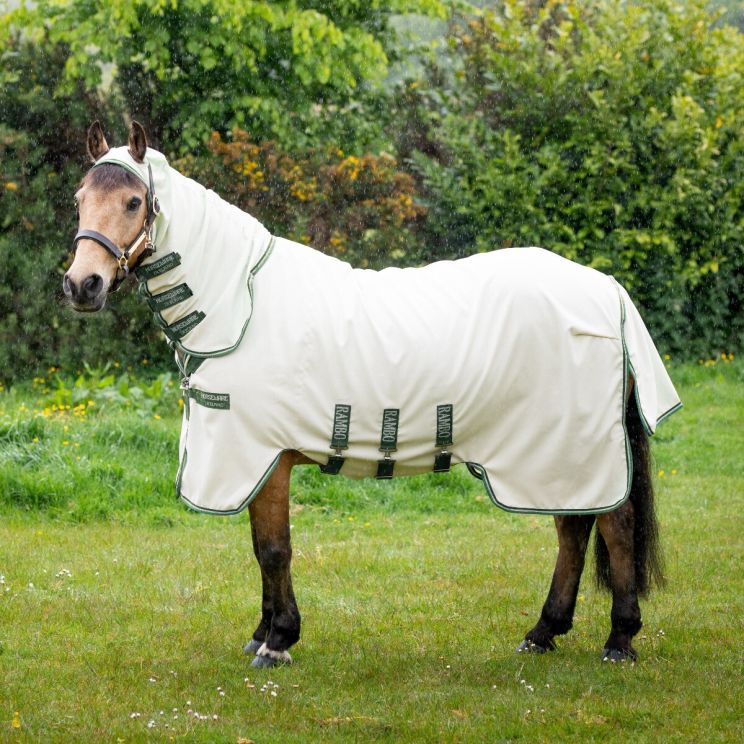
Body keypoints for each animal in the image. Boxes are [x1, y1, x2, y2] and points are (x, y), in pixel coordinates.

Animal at [63, 121, 681, 668]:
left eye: (134, 202)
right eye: (79, 199)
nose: (81, 285)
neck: (242, 305)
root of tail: (608, 289)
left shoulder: (266, 456)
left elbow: (274, 549)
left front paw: (278, 641)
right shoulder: (255, 461)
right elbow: (261, 550)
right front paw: (263, 631)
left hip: (573, 446)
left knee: (614, 525)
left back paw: (619, 639)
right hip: (551, 453)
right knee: (574, 528)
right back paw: (544, 632)